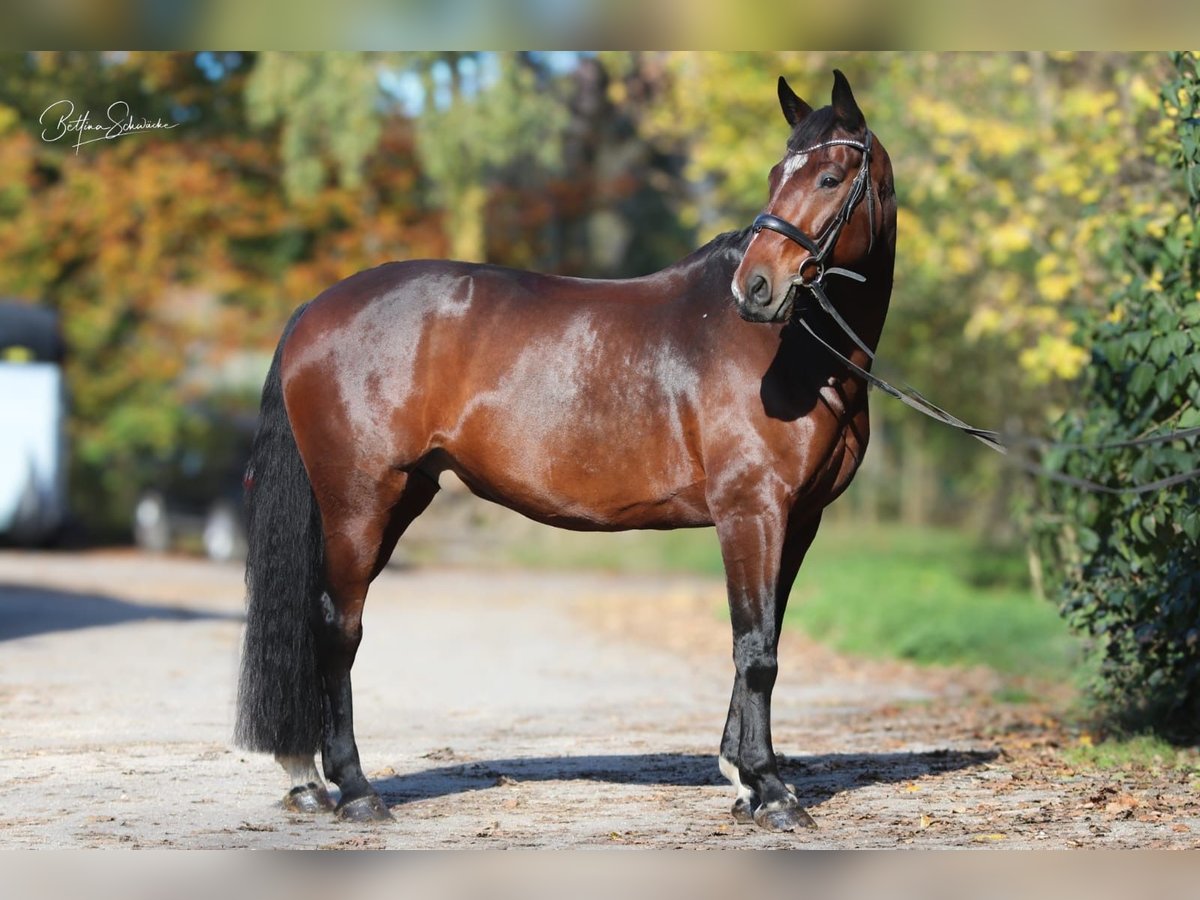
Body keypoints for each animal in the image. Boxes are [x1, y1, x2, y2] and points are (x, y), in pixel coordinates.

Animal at [234, 68, 897, 830]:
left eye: (828, 176)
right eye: (774, 176)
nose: (756, 289)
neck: (794, 355)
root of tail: (315, 309)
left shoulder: (797, 519)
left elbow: (764, 637)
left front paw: (744, 780)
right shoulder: (750, 510)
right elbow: (755, 648)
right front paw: (770, 790)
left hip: (401, 494)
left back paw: (309, 779)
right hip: (360, 498)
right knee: (337, 627)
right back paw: (355, 788)